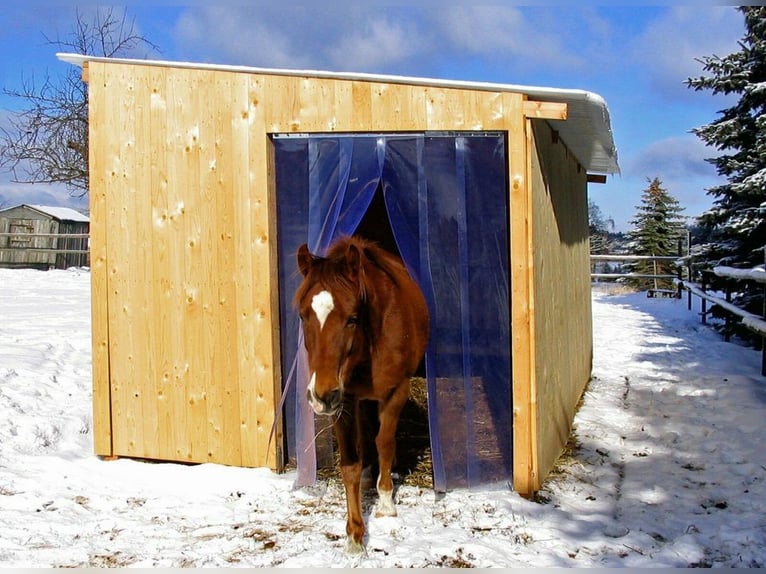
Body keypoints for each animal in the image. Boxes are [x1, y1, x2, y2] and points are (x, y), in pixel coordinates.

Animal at [294, 235, 430, 553]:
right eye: (303, 315)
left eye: (352, 318)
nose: (321, 396)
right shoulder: (344, 400)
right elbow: (350, 465)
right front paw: (355, 534)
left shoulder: (396, 392)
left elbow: (386, 443)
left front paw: (386, 502)